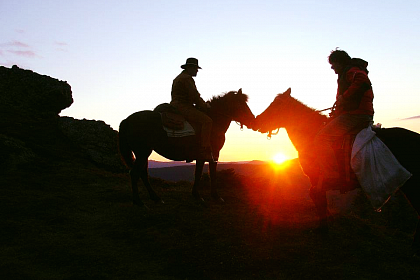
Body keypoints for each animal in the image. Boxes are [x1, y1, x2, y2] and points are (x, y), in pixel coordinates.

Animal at [119, 89, 256, 206]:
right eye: (241, 105)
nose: (252, 120)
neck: (214, 122)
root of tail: (127, 119)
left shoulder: (202, 156)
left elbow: (199, 173)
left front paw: (197, 195)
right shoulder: (212, 154)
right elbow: (209, 173)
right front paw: (214, 196)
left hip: (144, 153)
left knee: (143, 174)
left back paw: (156, 198)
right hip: (143, 152)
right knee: (135, 173)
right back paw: (138, 202)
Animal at [253, 88, 420, 256]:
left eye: (276, 106)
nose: (257, 121)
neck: (311, 133)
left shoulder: (317, 180)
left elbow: (319, 200)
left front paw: (323, 230)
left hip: (412, 185)